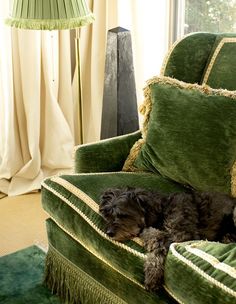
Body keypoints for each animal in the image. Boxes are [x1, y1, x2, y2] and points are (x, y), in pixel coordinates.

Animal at [99, 188, 236, 290]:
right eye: (107, 215)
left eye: (123, 215)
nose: (109, 233)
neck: (162, 210)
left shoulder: (182, 234)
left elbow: (156, 240)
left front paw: (152, 275)